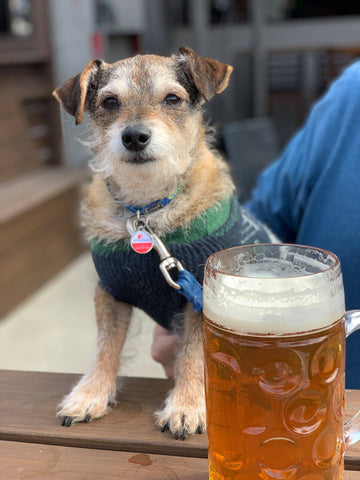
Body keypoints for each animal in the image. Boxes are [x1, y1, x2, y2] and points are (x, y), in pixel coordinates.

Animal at [52, 47, 274, 438]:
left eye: (172, 98)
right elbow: (106, 346)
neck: (147, 211)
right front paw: (90, 394)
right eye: (110, 102)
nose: (134, 136)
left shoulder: (199, 295)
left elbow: (194, 354)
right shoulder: (111, 292)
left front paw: (186, 405)